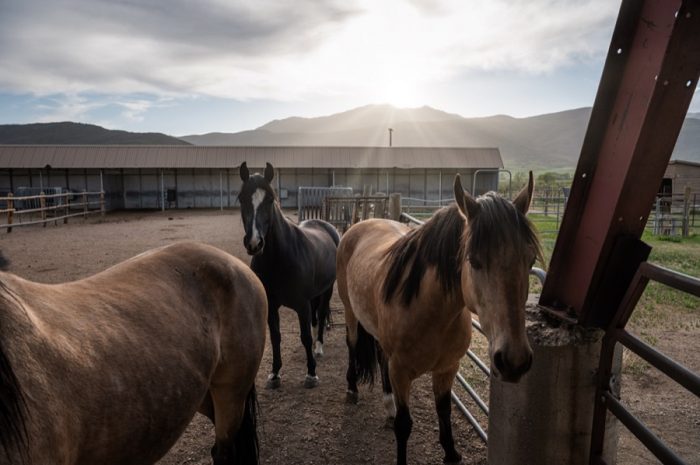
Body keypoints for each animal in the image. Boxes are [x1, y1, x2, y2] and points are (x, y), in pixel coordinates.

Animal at [238, 162, 339, 389]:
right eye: (241, 198)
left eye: (270, 199)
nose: (254, 243)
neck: (279, 259)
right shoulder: (272, 305)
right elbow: (276, 337)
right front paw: (275, 373)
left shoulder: (301, 305)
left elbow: (305, 337)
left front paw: (311, 374)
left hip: (327, 290)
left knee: (321, 316)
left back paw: (319, 348)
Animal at [337, 173, 543, 465]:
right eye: (473, 260)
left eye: (530, 260)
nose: (514, 361)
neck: (432, 314)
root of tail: (358, 226)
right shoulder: (401, 373)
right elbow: (404, 425)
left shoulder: (447, 368)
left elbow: (444, 411)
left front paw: (451, 452)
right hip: (351, 311)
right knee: (352, 344)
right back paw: (352, 388)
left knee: (380, 354)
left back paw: (387, 403)